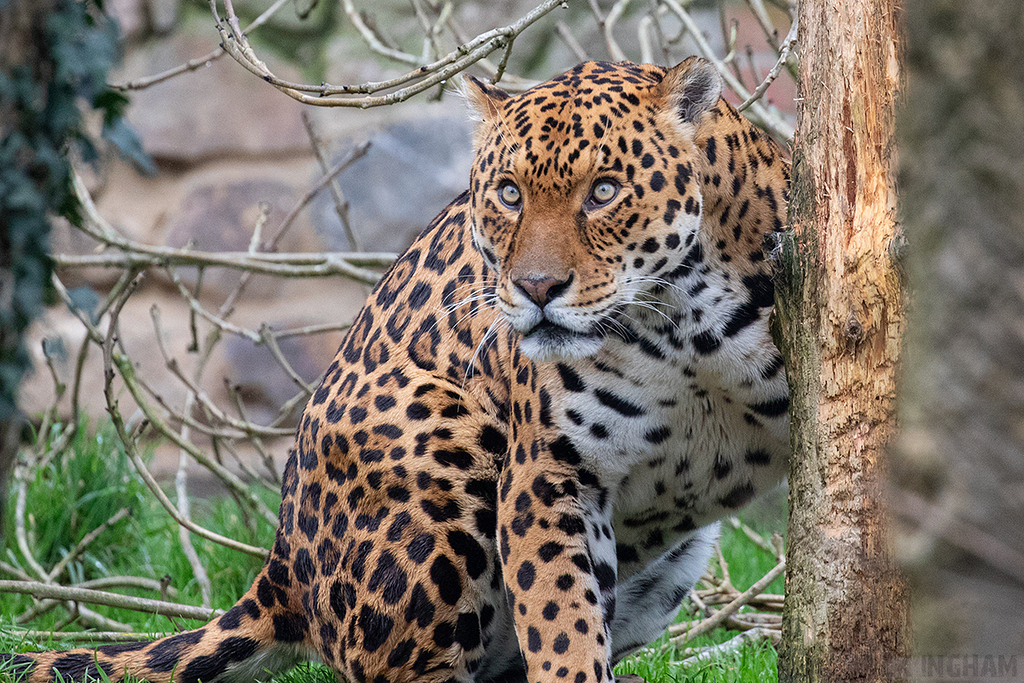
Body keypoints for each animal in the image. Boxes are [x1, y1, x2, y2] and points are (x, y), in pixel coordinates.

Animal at [2, 57, 791, 683]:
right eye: (508, 194)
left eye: (604, 191)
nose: (536, 289)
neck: (682, 328)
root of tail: (282, 567)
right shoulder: (548, 476)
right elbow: (562, 629)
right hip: (446, 450)